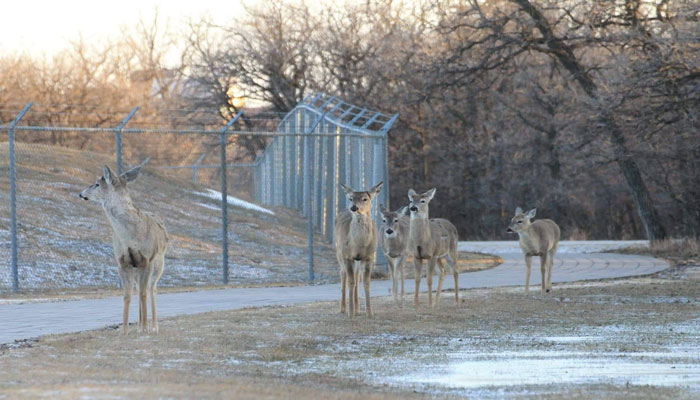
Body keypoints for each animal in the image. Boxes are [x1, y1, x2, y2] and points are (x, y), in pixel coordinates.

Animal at [78, 162, 170, 334]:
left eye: (97, 183)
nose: (81, 194)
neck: (131, 237)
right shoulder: (122, 262)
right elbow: (127, 295)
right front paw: (125, 329)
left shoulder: (147, 259)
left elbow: (143, 293)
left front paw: (146, 328)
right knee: (141, 288)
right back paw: (139, 325)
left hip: (159, 262)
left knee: (151, 289)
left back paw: (154, 326)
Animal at [334, 181, 382, 316]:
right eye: (351, 198)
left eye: (365, 199)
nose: (353, 207)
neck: (358, 245)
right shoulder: (347, 256)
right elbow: (350, 282)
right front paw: (350, 314)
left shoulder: (369, 257)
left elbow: (366, 282)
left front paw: (369, 313)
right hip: (339, 251)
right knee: (343, 273)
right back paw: (344, 308)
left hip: (357, 260)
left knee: (357, 276)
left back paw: (357, 309)